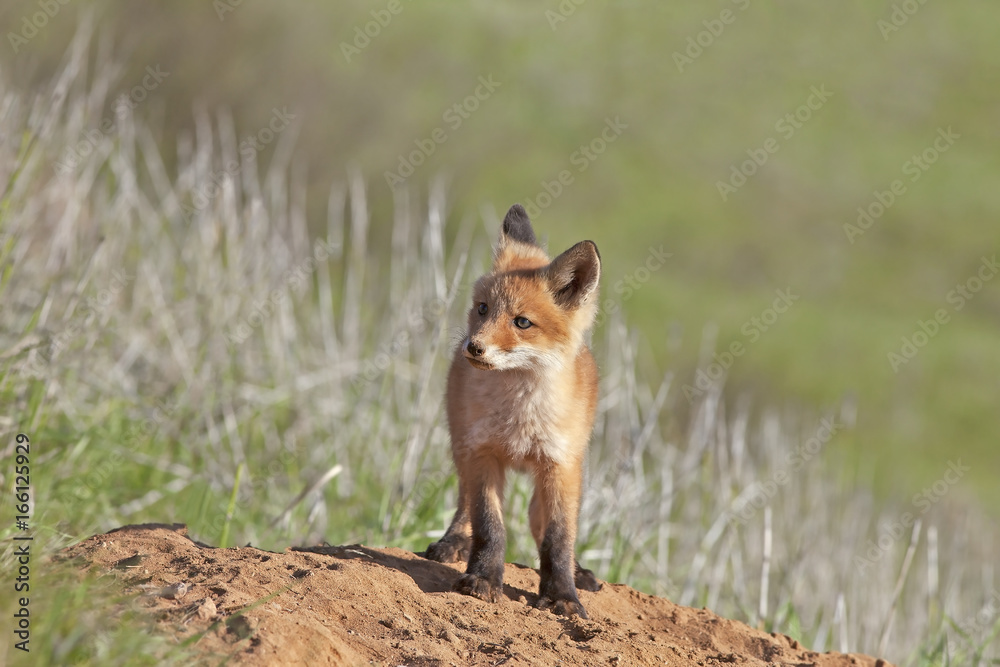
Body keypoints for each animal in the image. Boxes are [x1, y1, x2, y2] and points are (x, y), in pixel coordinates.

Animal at [425, 203, 603, 618]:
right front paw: (483, 578)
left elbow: (558, 536)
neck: (520, 417)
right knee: (464, 502)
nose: (473, 347)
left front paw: (562, 594)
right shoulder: (483, 454)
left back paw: (579, 571)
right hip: (460, 444)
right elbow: (490, 526)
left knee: (543, 522)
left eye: (522, 322)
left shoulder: (559, 463)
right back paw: (452, 542)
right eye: (483, 309)